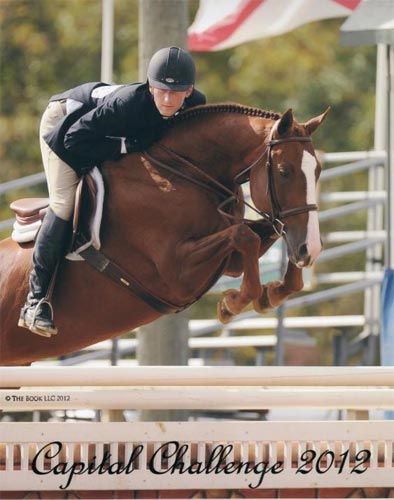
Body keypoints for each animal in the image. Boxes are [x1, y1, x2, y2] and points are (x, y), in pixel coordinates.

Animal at [0, 103, 330, 366]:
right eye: (285, 171)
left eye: (317, 171)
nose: (310, 249)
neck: (185, 173)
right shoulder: (175, 273)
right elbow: (245, 236)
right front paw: (233, 302)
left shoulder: (228, 260)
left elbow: (264, 234)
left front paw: (273, 292)